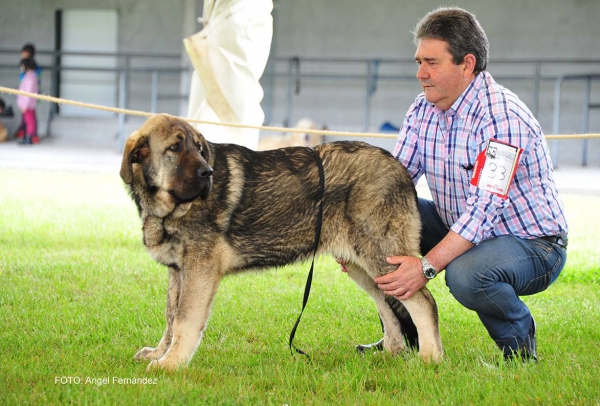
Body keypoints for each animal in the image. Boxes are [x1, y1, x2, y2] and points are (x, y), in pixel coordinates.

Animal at [119, 114, 442, 372]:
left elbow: (185, 321)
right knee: (387, 305)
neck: (169, 208)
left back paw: (430, 359)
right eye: (174, 148)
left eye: (199, 149)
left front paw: (171, 364)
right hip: (362, 265)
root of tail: (399, 167)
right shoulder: (178, 272)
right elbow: (170, 318)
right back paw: (390, 354)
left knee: (423, 302)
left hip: (381, 257)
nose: (207, 173)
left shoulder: (200, 270)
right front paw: (160, 353)